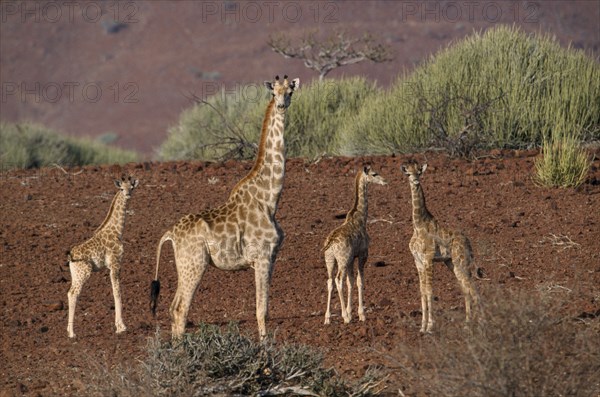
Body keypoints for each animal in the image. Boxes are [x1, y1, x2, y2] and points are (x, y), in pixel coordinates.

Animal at [66, 175, 139, 336]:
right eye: (121, 188)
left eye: (131, 187)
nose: (128, 195)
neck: (117, 231)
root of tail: (70, 256)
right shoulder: (115, 263)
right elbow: (117, 292)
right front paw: (121, 327)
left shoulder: (112, 266)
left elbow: (114, 291)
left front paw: (119, 325)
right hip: (84, 272)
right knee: (74, 293)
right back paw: (72, 333)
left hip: (75, 274)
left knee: (69, 292)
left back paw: (68, 330)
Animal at [151, 76, 298, 338]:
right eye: (275, 93)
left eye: (290, 91)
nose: (282, 105)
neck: (270, 200)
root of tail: (170, 234)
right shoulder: (261, 257)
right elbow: (261, 310)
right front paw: (265, 348)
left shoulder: (271, 258)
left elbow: (266, 309)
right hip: (194, 265)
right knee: (180, 309)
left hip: (186, 266)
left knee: (172, 308)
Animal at [326, 166, 386, 324]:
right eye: (374, 174)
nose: (385, 181)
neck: (361, 219)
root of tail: (330, 244)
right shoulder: (362, 254)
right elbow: (359, 281)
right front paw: (360, 314)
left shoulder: (352, 258)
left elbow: (351, 281)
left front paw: (350, 311)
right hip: (342, 260)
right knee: (338, 280)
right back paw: (344, 317)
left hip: (330, 260)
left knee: (330, 281)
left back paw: (327, 318)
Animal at [400, 162, 480, 332]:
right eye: (408, 174)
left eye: (419, 172)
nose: (415, 181)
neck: (418, 226)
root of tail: (468, 242)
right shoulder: (418, 261)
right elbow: (422, 291)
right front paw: (422, 327)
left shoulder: (429, 258)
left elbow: (430, 291)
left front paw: (430, 326)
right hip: (451, 263)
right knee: (466, 289)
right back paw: (468, 322)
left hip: (461, 262)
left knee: (472, 287)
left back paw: (482, 321)